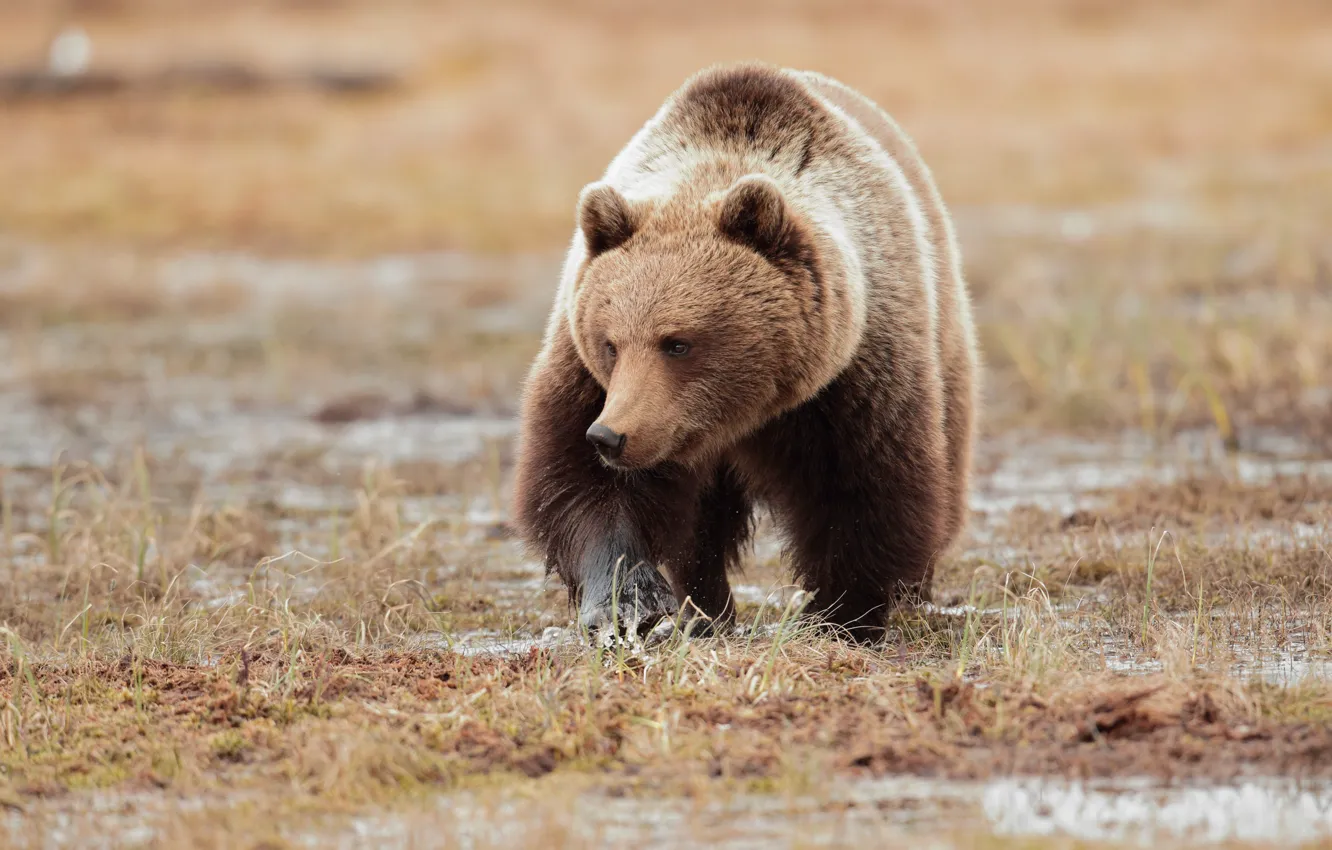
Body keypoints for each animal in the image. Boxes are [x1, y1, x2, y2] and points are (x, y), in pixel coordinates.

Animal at [510, 62, 979, 641]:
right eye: (610, 343)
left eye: (678, 342)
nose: (611, 436)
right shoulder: (589, 379)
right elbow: (579, 483)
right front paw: (632, 604)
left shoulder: (853, 379)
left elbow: (865, 488)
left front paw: (841, 616)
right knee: (701, 529)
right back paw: (707, 610)